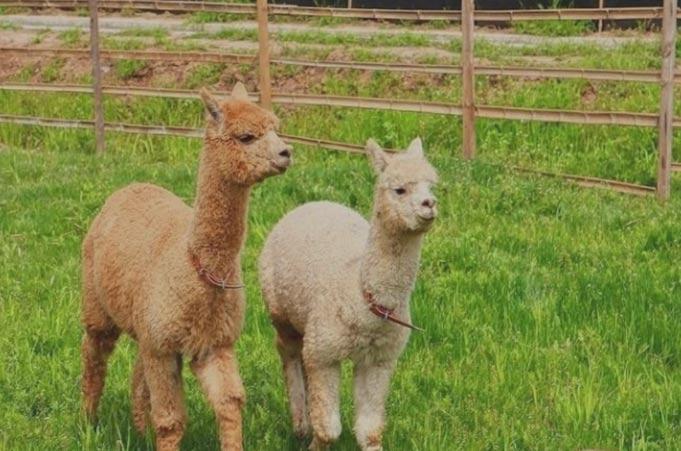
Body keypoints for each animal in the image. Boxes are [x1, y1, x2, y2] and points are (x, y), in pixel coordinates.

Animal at [80, 83, 293, 451]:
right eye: (246, 136)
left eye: (276, 128)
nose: (286, 153)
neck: (195, 270)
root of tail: (130, 187)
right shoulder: (164, 346)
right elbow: (171, 420)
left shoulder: (214, 343)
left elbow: (229, 403)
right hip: (98, 303)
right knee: (95, 356)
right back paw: (87, 423)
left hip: (148, 325)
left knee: (137, 375)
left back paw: (139, 432)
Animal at [258, 137, 439, 451]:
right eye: (399, 189)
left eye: (432, 187)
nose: (429, 205)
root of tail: (315, 203)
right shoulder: (326, 354)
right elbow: (329, 428)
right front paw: (315, 443)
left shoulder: (379, 359)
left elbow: (370, 431)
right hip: (279, 308)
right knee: (288, 351)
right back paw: (301, 423)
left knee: (303, 356)